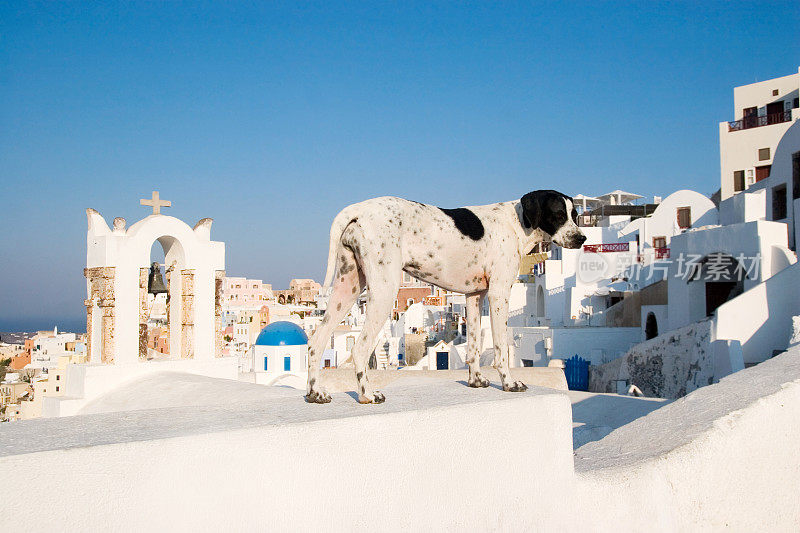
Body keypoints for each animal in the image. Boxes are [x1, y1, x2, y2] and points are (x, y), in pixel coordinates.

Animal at [306, 189, 588, 402]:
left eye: (575, 215)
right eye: (558, 215)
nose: (582, 238)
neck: (517, 222)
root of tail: (357, 209)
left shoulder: (474, 297)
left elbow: (474, 345)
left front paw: (476, 380)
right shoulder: (499, 294)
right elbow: (500, 349)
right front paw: (509, 383)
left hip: (347, 288)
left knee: (316, 341)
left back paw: (315, 392)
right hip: (384, 290)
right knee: (360, 347)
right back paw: (367, 395)